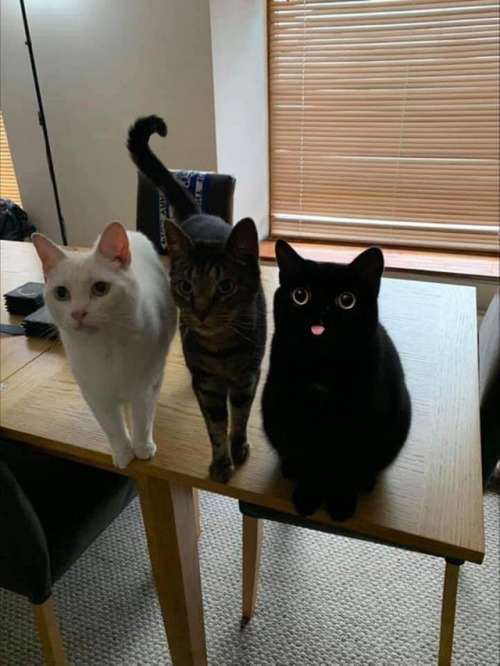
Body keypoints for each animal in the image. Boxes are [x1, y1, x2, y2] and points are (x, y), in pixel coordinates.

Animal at [30, 222, 176, 466]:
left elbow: (142, 421)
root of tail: (132, 233)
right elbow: (113, 428)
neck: (104, 348)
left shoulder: (143, 390)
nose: (78, 313)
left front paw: (142, 448)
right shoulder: (96, 395)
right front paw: (123, 454)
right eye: (61, 293)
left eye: (100, 288)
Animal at [128, 116, 266, 482]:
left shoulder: (248, 377)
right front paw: (221, 462)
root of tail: (197, 214)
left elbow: (240, 417)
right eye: (186, 287)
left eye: (226, 287)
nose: (201, 312)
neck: (221, 351)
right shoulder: (206, 383)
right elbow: (215, 426)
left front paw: (239, 447)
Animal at [262, 239, 410, 520]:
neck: (323, 368)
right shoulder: (296, 417)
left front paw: (341, 504)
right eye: (300, 295)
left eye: (346, 300)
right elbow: (307, 458)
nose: (321, 314)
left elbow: (348, 468)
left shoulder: (361, 424)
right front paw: (307, 496)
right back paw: (290, 468)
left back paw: (366, 481)